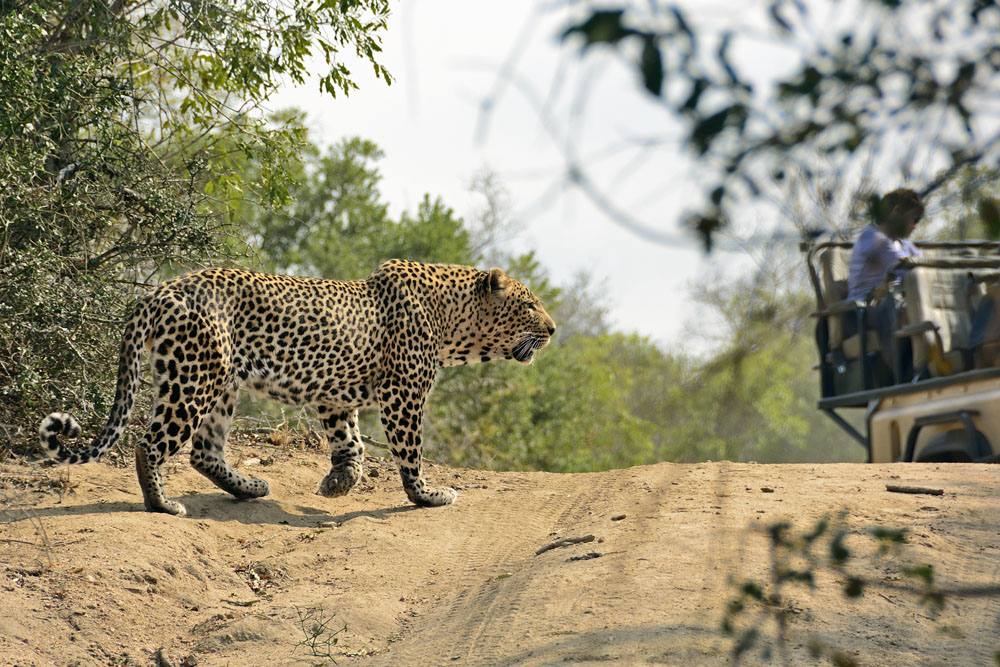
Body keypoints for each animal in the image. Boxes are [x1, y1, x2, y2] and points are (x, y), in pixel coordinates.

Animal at [39, 259, 555, 516]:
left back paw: (250, 488)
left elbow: (351, 445)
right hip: (193, 379)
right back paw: (162, 504)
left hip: (218, 382)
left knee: (203, 451)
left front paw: (338, 483)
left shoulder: (337, 396)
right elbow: (411, 452)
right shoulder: (404, 394)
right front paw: (426, 495)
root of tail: (158, 290)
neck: (454, 321)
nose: (553, 329)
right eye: (529, 304)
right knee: (150, 444)